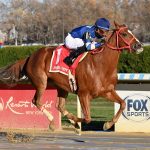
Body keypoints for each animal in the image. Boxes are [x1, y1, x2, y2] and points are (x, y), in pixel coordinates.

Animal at [0, 21, 144, 131]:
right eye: (125, 34)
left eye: (131, 32)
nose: (139, 46)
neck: (101, 65)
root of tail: (30, 56)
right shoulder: (83, 94)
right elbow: (87, 118)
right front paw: (76, 124)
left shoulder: (107, 91)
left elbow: (123, 103)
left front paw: (107, 124)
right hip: (41, 82)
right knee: (37, 101)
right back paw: (52, 122)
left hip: (62, 86)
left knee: (59, 106)